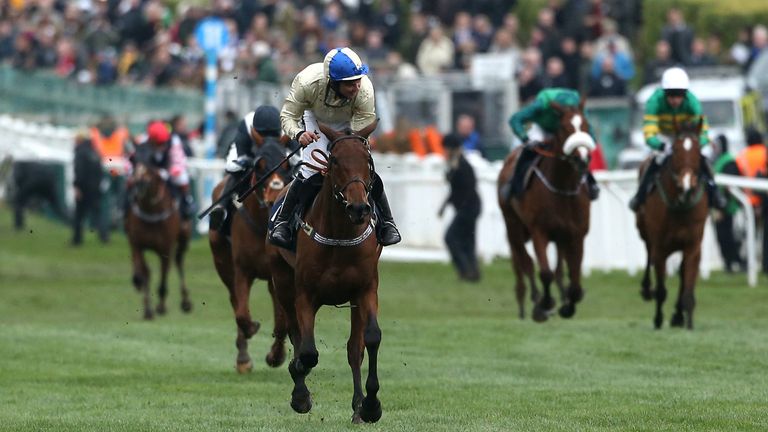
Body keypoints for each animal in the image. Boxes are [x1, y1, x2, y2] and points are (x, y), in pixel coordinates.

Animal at [124, 157, 192, 318]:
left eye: (149, 174)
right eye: (134, 173)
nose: (137, 190)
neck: (151, 213)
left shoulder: (165, 249)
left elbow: (163, 277)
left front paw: (161, 306)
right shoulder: (137, 244)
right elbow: (143, 273)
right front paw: (148, 309)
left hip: (183, 239)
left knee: (179, 263)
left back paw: (185, 302)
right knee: (146, 271)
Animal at [210, 137, 294, 372]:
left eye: (287, 165)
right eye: (259, 166)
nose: (274, 195)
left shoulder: (279, 274)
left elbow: (282, 320)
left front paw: (276, 355)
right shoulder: (242, 270)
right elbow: (241, 314)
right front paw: (251, 331)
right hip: (222, 262)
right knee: (234, 301)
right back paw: (243, 358)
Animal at [268, 120, 388, 424]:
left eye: (368, 161)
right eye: (334, 161)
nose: (359, 208)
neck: (340, 235)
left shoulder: (366, 289)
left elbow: (369, 340)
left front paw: (370, 406)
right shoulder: (305, 294)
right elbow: (308, 351)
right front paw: (300, 392)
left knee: (353, 348)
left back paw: (357, 406)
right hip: (282, 282)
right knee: (296, 335)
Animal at [496, 101, 596, 322]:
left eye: (585, 126)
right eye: (565, 128)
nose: (582, 159)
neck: (562, 187)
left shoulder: (576, 234)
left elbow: (574, 281)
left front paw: (568, 306)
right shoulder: (538, 231)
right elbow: (544, 272)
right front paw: (545, 305)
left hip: (559, 237)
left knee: (558, 267)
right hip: (513, 225)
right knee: (524, 261)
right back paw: (533, 299)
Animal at [636, 116, 708, 330]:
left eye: (698, 150)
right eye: (675, 149)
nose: (687, 184)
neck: (680, 205)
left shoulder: (693, 246)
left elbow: (688, 285)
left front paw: (687, 322)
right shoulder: (660, 246)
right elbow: (661, 288)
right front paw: (658, 320)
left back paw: (678, 315)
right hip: (644, 232)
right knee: (648, 256)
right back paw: (646, 289)